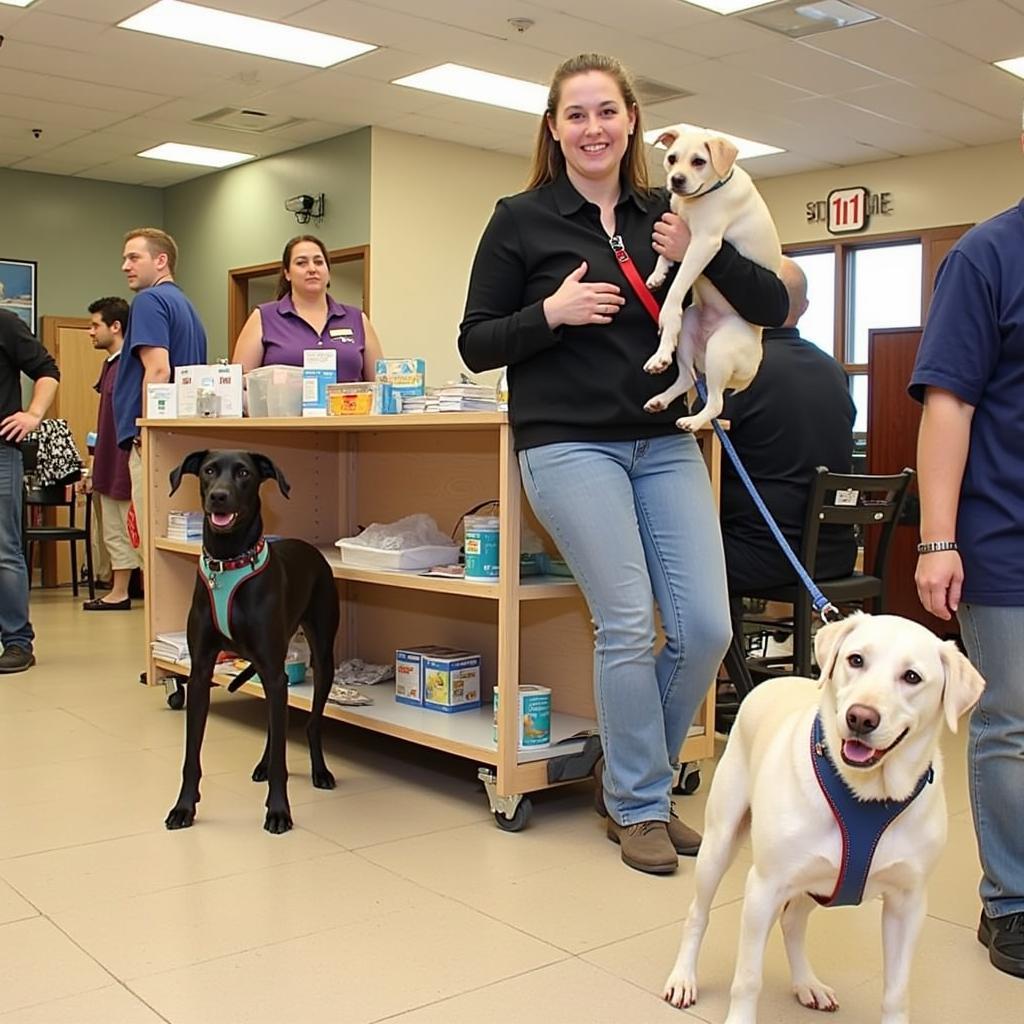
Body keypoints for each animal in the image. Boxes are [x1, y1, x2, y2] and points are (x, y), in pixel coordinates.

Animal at [165, 452, 337, 835]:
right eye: (208, 471)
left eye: (244, 473)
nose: (219, 496)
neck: (228, 561)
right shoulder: (201, 673)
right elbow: (190, 756)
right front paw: (184, 807)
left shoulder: (273, 673)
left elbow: (282, 762)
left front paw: (279, 812)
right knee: (276, 724)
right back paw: (262, 763)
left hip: (323, 656)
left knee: (311, 722)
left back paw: (320, 771)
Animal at [643, 125, 778, 434]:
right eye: (672, 158)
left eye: (699, 161)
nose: (676, 180)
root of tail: (752, 370)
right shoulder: (675, 224)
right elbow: (664, 257)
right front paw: (657, 275)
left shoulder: (703, 243)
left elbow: (678, 287)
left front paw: (667, 309)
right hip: (690, 329)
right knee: (685, 378)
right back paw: (660, 387)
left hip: (720, 349)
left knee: (716, 403)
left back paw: (692, 420)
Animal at [663, 610, 983, 1024]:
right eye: (856, 660)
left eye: (912, 677)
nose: (860, 717)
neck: (866, 794)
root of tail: (773, 679)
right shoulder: (764, 888)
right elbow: (748, 978)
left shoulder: (907, 905)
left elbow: (896, 992)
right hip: (720, 844)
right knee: (698, 914)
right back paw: (683, 978)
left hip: (822, 879)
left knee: (792, 921)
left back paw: (807, 984)